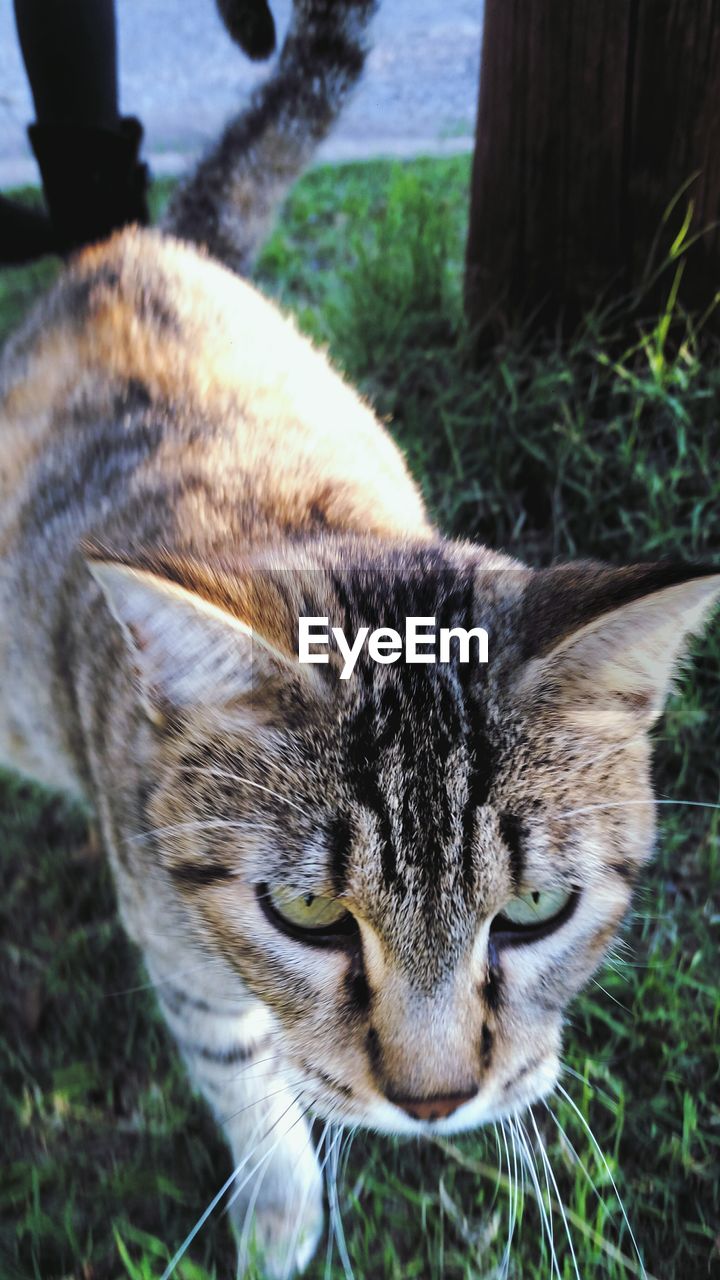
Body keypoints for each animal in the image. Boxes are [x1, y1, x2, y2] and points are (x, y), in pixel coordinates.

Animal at [0, 5, 712, 1274]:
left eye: (538, 908)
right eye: (307, 914)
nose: (435, 1103)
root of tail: (145, 238)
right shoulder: (185, 961)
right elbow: (244, 1075)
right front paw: (281, 1204)